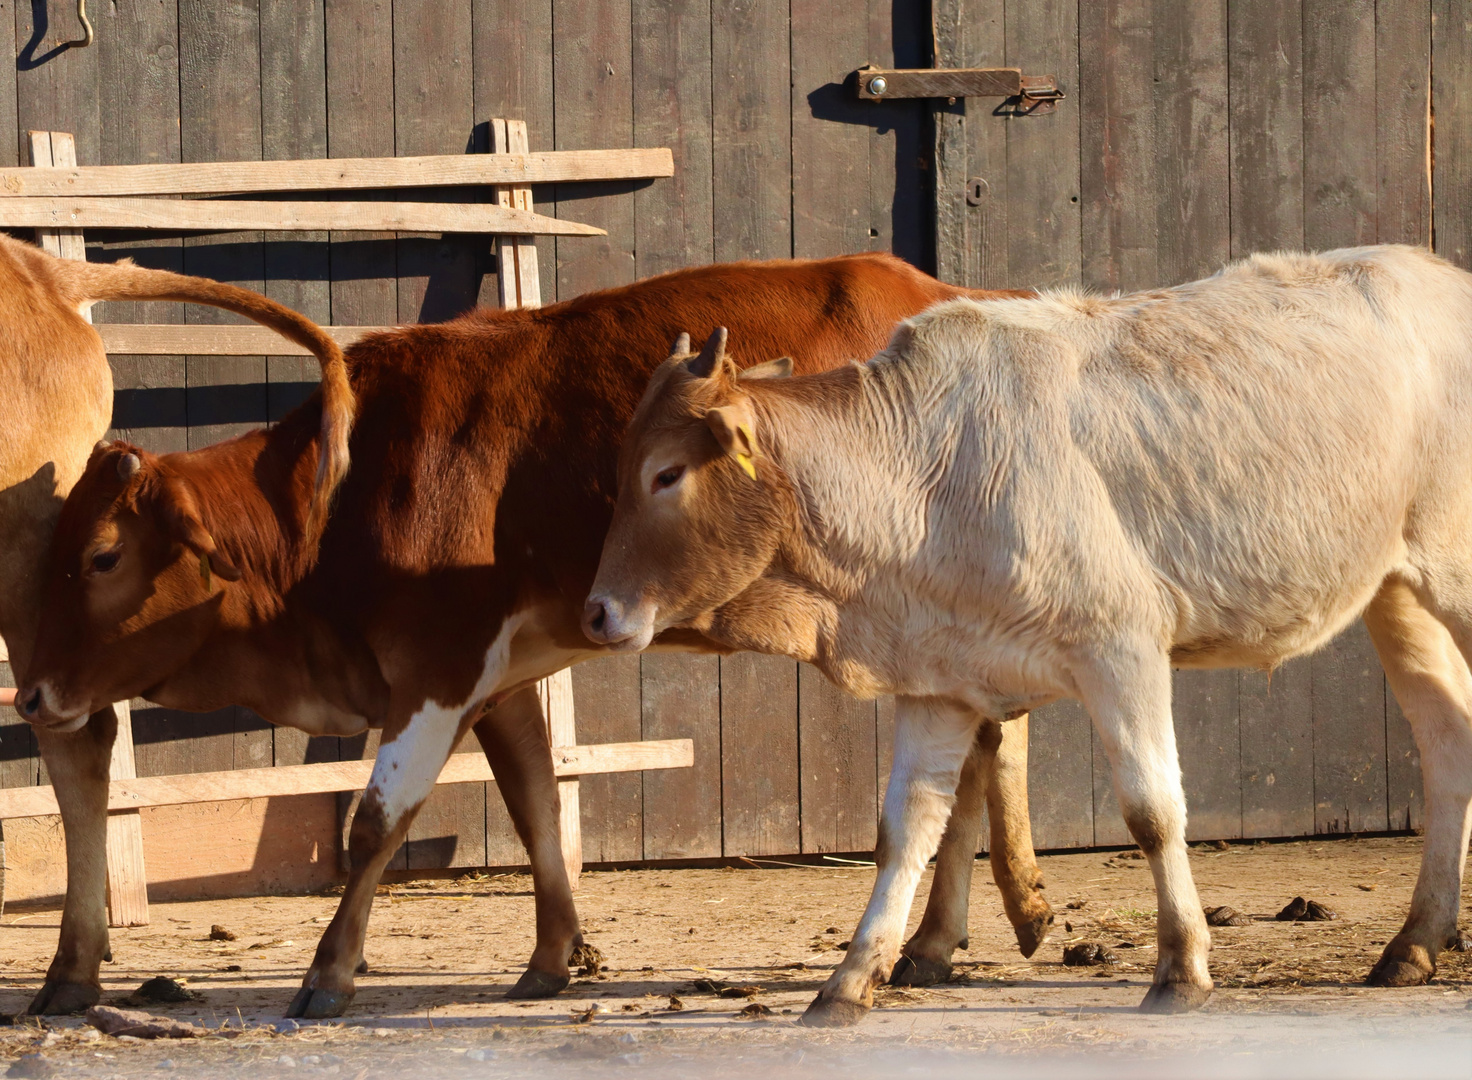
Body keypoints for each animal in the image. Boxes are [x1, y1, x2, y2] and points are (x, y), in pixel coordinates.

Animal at [582, 247, 1472, 1029]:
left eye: (667, 474)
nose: (595, 613)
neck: (924, 479)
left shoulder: (1122, 648)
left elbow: (1153, 812)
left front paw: (1181, 969)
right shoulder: (936, 677)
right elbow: (905, 832)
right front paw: (849, 982)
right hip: (1395, 592)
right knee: (1446, 738)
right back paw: (1415, 944)